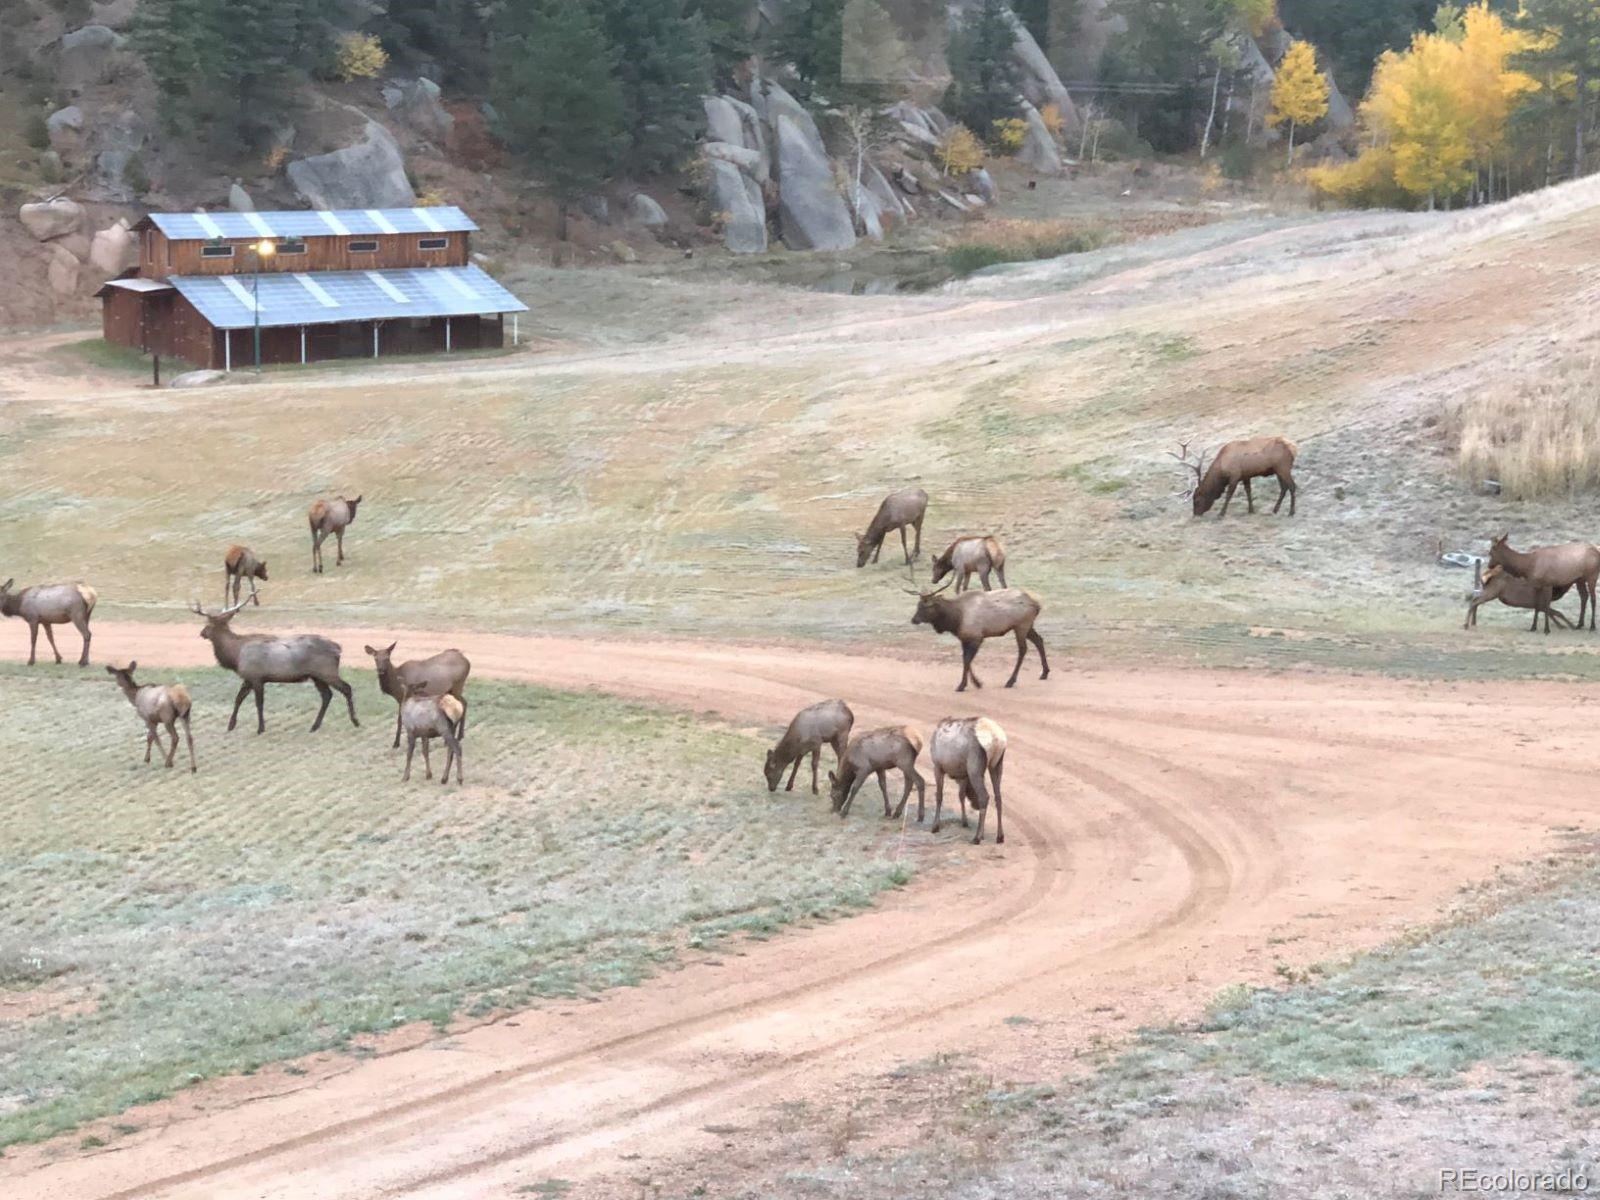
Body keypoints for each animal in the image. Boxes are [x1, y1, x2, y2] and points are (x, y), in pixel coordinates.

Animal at [188, 598, 361, 732]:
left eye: (208, 624)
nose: (201, 633)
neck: (235, 655)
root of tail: (338, 649)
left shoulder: (256, 677)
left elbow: (258, 703)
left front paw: (260, 728)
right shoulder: (248, 678)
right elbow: (238, 699)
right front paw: (231, 725)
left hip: (327, 672)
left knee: (346, 688)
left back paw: (355, 721)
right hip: (316, 676)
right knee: (327, 695)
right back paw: (314, 726)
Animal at [915, 585, 1049, 694]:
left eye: (924, 607)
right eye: (918, 605)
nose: (913, 619)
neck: (956, 619)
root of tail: (1037, 604)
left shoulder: (977, 637)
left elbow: (967, 660)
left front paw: (965, 685)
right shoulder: (964, 639)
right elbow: (965, 659)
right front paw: (974, 683)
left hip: (1021, 626)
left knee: (1023, 649)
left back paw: (1010, 681)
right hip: (1028, 626)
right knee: (1039, 640)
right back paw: (1044, 673)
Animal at [921, 720, 1004, 851]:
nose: (975, 805)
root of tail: (997, 740)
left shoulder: (937, 766)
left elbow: (939, 796)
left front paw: (935, 826)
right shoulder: (964, 774)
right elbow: (961, 795)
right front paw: (964, 821)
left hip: (974, 767)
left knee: (984, 796)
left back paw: (977, 837)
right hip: (996, 765)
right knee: (998, 797)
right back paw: (999, 836)